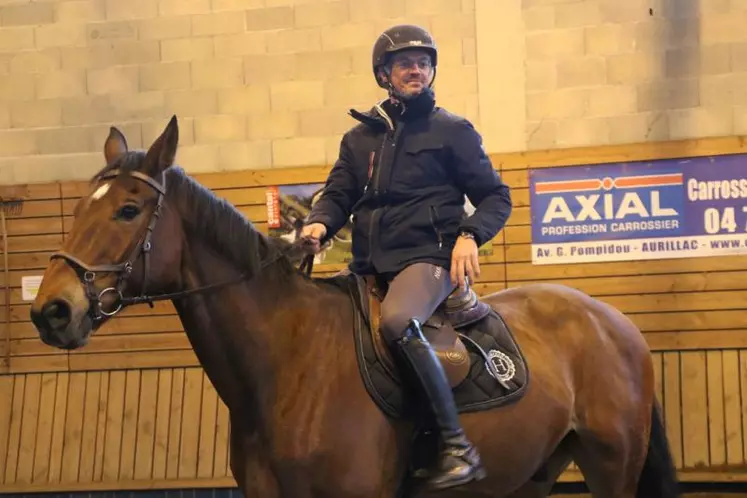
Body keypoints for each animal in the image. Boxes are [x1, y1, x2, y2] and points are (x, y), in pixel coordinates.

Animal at [30, 117, 684, 498]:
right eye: (80, 207)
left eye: (128, 210)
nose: (52, 310)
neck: (288, 362)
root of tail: (612, 322)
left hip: (611, 467)